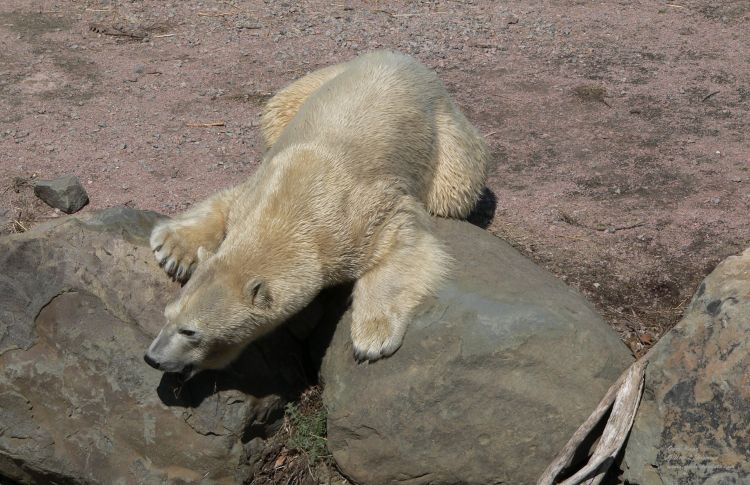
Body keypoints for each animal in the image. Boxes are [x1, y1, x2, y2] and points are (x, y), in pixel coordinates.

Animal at [144, 49, 490, 376]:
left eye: (191, 332)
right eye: (167, 315)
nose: (151, 358)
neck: (288, 208)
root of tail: (403, 58)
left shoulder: (360, 216)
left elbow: (403, 240)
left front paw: (372, 338)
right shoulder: (260, 187)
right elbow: (226, 201)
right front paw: (173, 250)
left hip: (446, 132)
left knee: (454, 189)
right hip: (317, 81)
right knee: (274, 111)